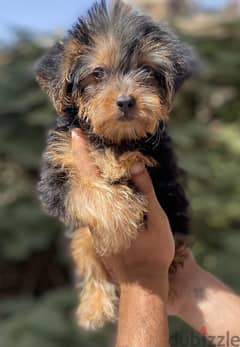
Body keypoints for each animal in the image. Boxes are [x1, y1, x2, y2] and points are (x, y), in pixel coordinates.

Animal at [36, 0, 197, 332]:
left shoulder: (162, 172)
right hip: (81, 238)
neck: (111, 139)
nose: (125, 101)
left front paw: (121, 165)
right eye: (97, 73)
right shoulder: (58, 168)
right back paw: (93, 307)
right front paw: (120, 213)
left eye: (147, 70)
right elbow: (82, 189)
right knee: (85, 251)